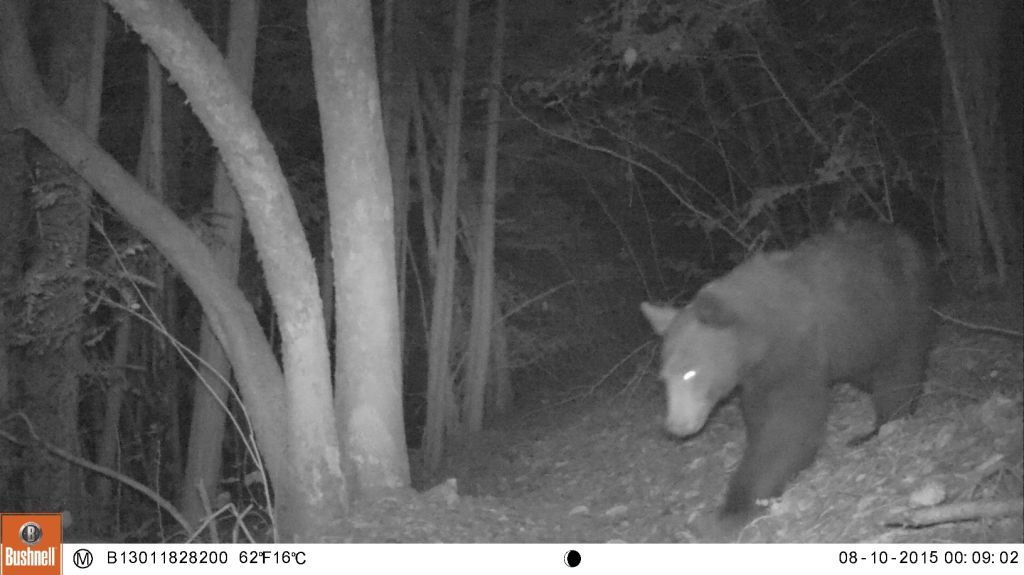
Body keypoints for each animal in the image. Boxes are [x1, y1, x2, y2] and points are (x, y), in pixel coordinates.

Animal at [643, 222, 933, 536]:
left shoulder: (794, 350)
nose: (677, 426)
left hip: (899, 312)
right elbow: (761, 417)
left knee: (899, 370)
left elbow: (787, 427)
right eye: (664, 378)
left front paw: (727, 514)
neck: (755, 338)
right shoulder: (758, 375)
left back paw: (881, 425)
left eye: (691, 371)